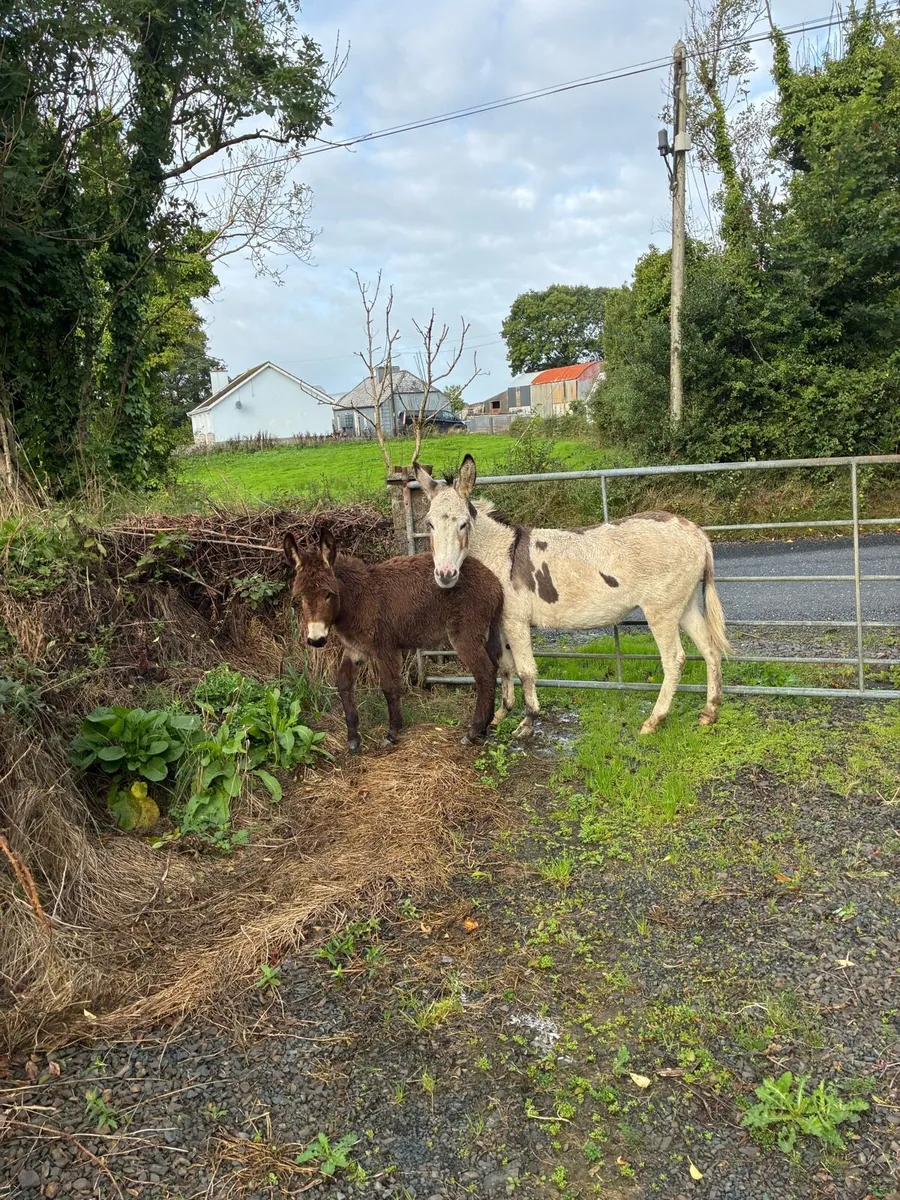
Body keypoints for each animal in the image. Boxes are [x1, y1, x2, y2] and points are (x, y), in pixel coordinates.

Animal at [283, 528, 504, 753]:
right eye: (300, 596)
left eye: (328, 595)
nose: (316, 640)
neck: (358, 599)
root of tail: (494, 581)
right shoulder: (356, 649)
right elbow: (344, 683)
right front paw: (353, 738)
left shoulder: (384, 648)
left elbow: (389, 687)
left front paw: (392, 733)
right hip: (485, 632)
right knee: (494, 668)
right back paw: (484, 728)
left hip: (465, 634)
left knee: (485, 673)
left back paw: (474, 731)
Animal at [413, 454, 730, 739]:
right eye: (429, 524)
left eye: (463, 524)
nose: (445, 575)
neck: (500, 553)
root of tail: (696, 532)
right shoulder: (501, 621)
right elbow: (505, 665)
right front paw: (501, 714)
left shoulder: (516, 621)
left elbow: (526, 670)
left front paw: (528, 722)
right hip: (685, 605)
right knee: (710, 649)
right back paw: (710, 712)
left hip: (661, 610)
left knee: (674, 659)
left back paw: (654, 720)